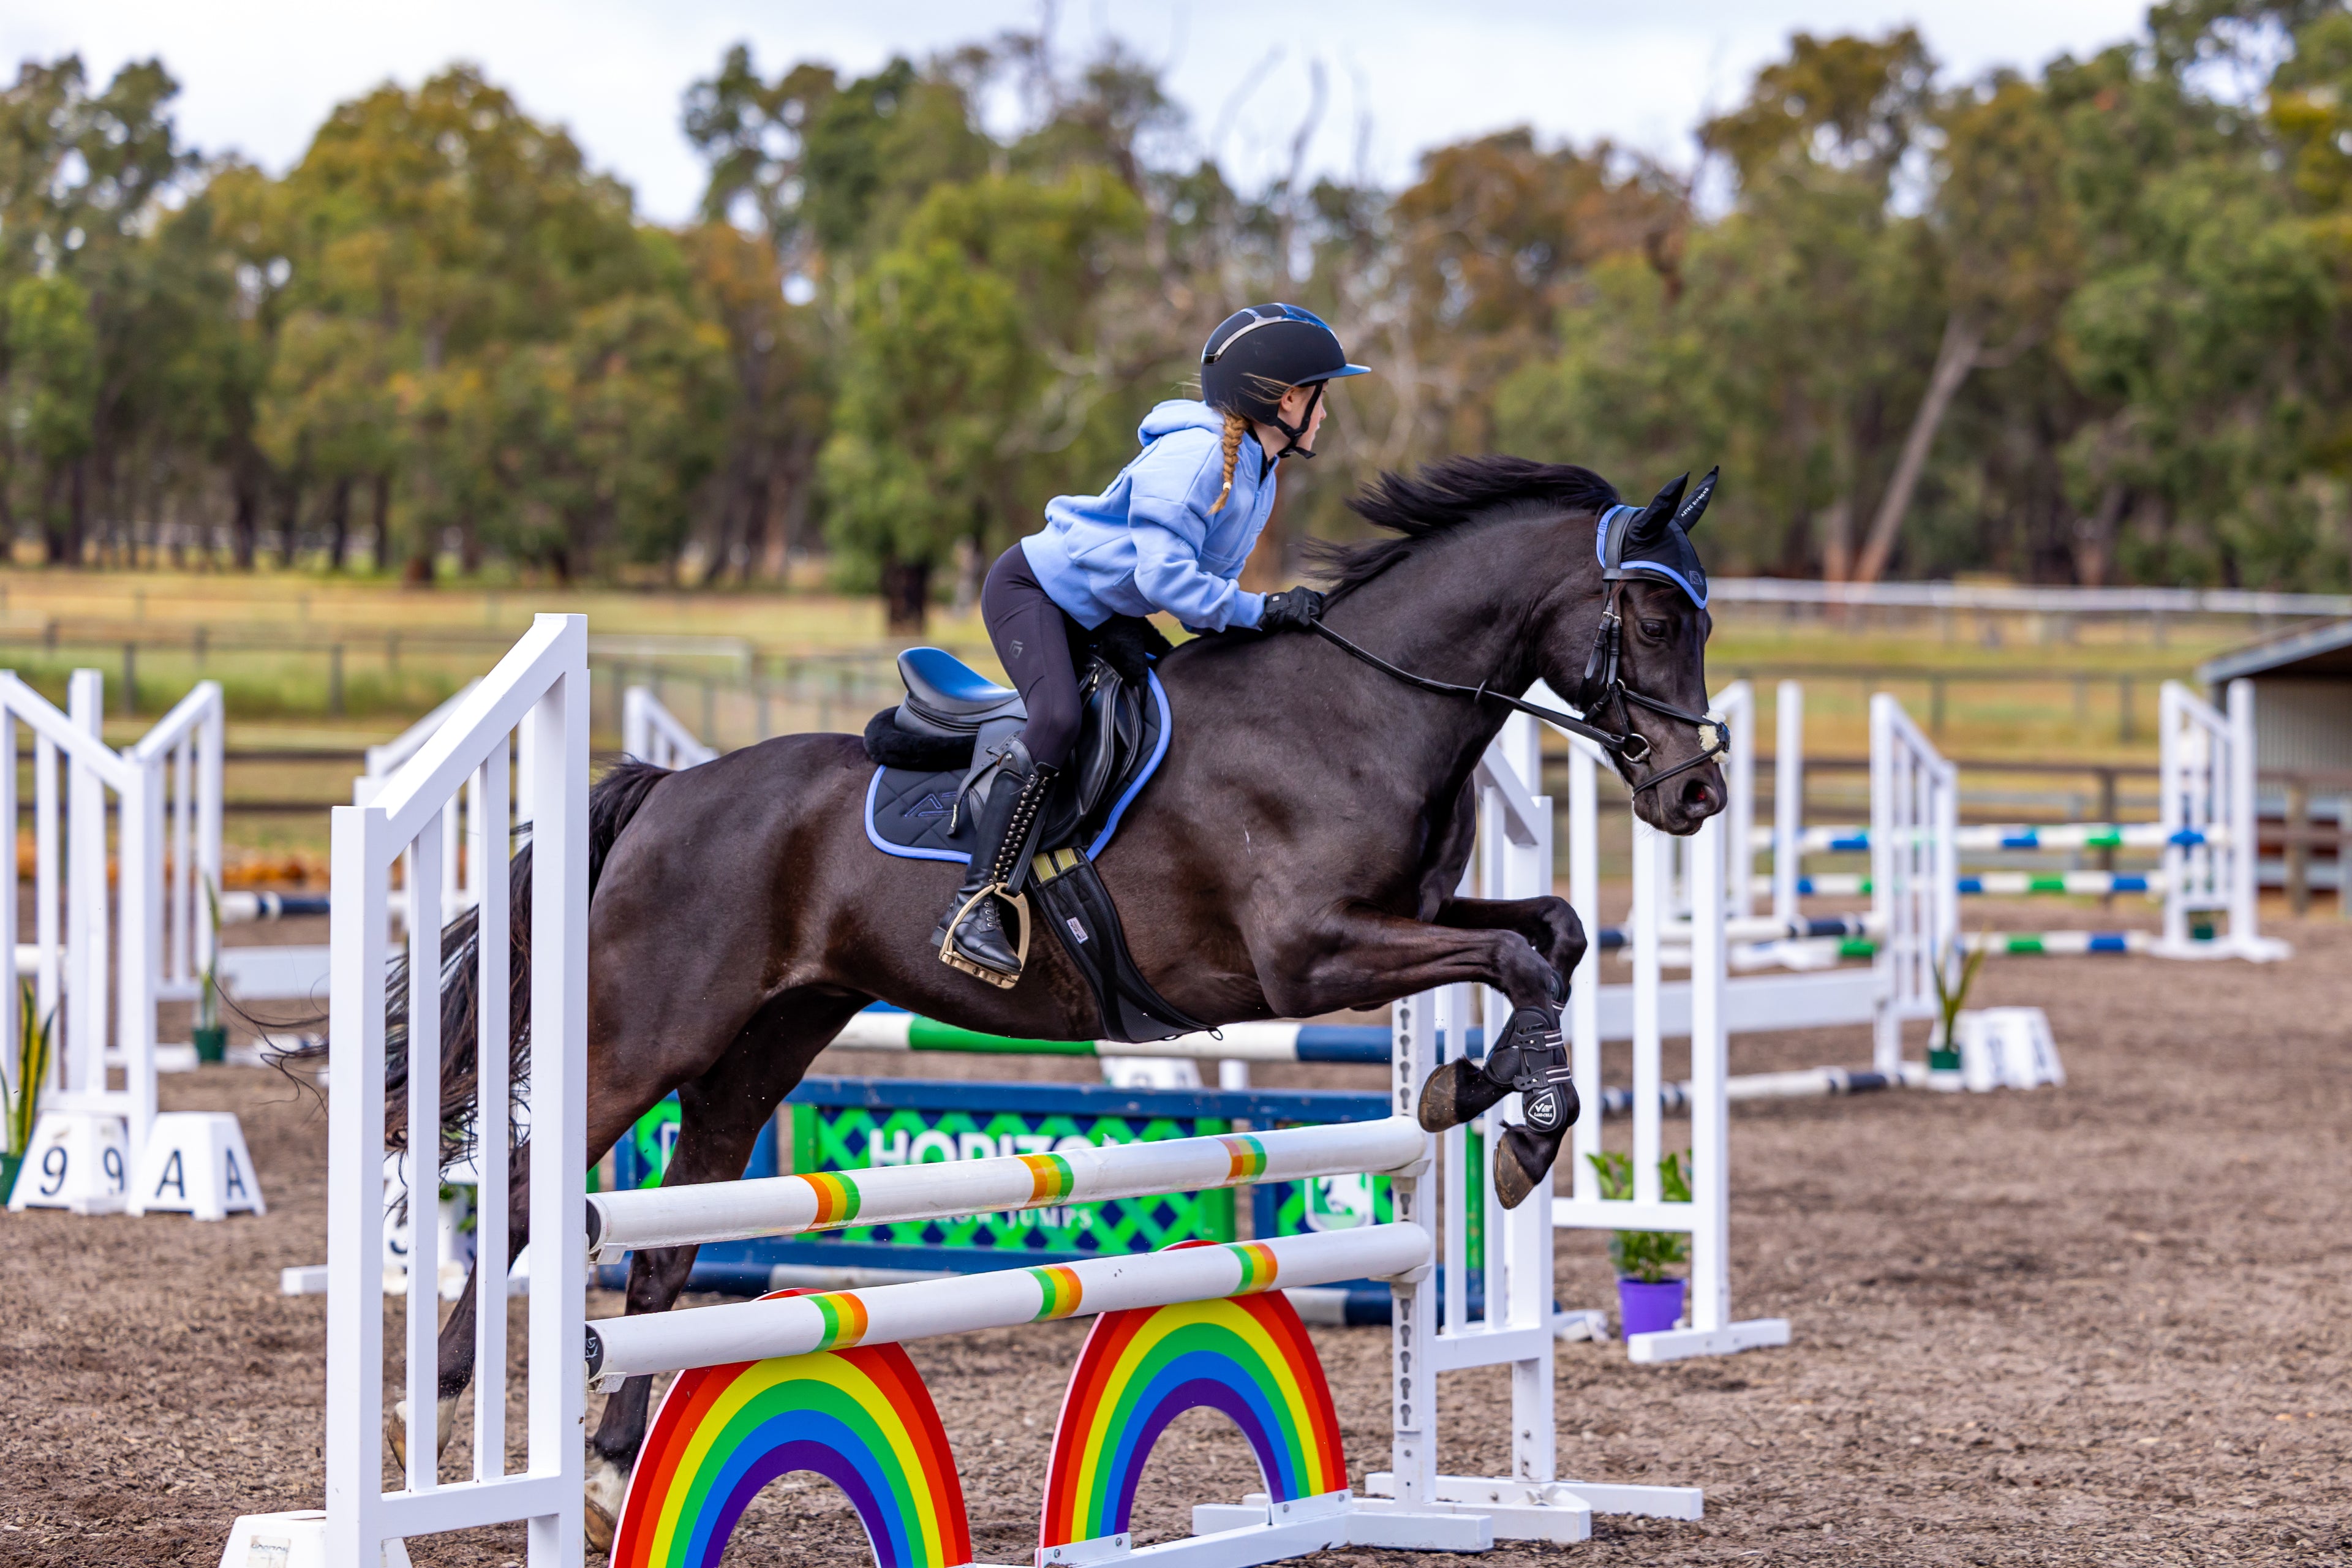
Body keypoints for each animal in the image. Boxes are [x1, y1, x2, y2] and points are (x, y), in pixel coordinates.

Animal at [366, 454, 1727, 1537]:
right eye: (1655, 614)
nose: (1698, 792)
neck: (1360, 710)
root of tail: (671, 790)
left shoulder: (1409, 922)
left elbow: (1551, 936)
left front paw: (1479, 1089)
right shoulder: (1316, 956)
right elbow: (1520, 960)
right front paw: (1524, 1124)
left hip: (762, 1044)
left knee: (665, 1243)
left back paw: (605, 1473)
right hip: (646, 1028)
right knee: (534, 1194)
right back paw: (434, 1406)